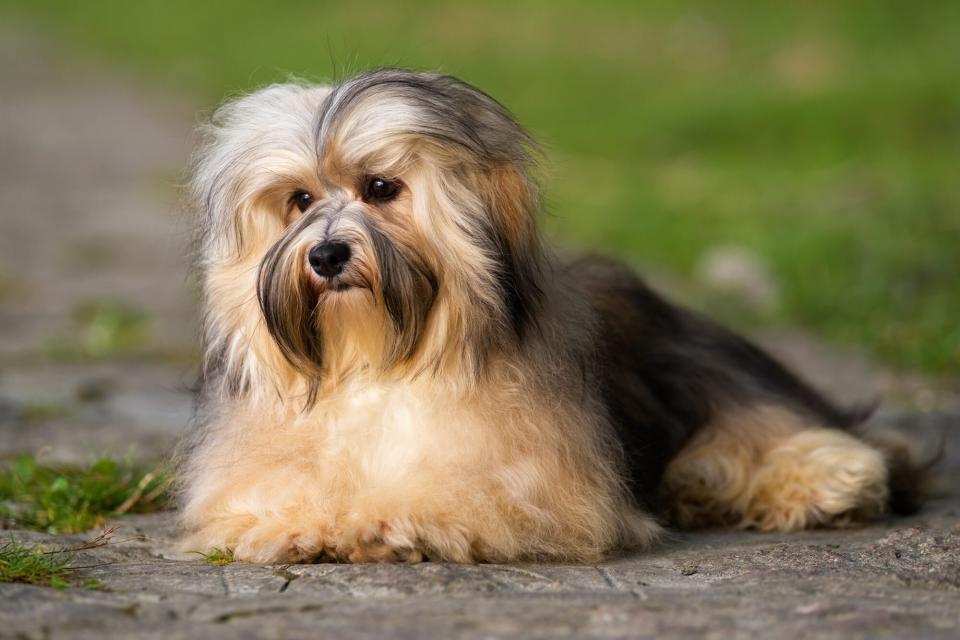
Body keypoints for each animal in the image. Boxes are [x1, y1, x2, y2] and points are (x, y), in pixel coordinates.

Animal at [176, 67, 928, 564]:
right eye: (299, 200)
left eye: (382, 187)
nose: (328, 255)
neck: (378, 360)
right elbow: (266, 495)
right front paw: (298, 521)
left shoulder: (538, 485)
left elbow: (457, 494)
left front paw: (381, 519)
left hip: (713, 382)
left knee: (812, 441)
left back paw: (817, 482)